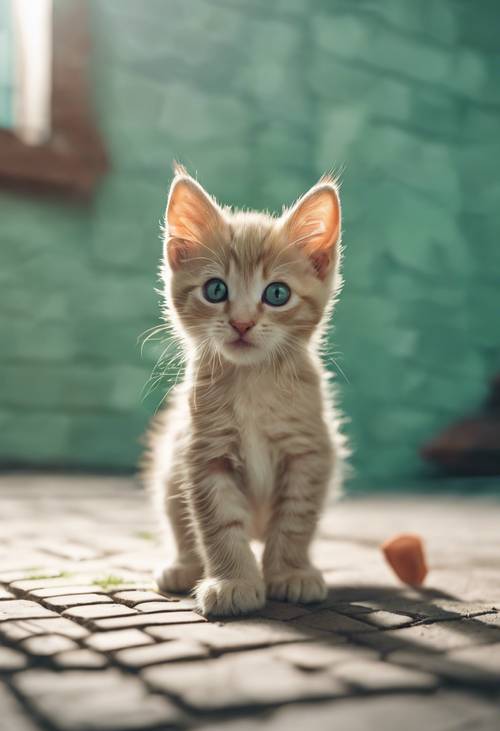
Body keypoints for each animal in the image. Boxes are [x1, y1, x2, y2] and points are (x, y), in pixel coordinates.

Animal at [146, 166, 346, 616]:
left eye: (277, 294)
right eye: (216, 289)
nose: (241, 323)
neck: (252, 382)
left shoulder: (309, 451)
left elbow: (294, 520)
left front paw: (290, 572)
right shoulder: (203, 453)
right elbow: (218, 524)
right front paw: (233, 581)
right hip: (169, 471)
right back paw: (183, 567)